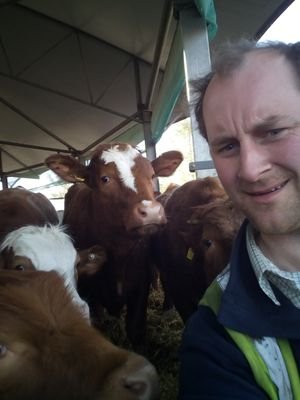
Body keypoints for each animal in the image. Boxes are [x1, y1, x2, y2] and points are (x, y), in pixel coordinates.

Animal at [46, 143, 184, 344]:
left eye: (152, 176)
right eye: (105, 178)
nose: (151, 212)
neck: (118, 253)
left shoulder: (140, 285)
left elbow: (135, 330)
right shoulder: (90, 294)